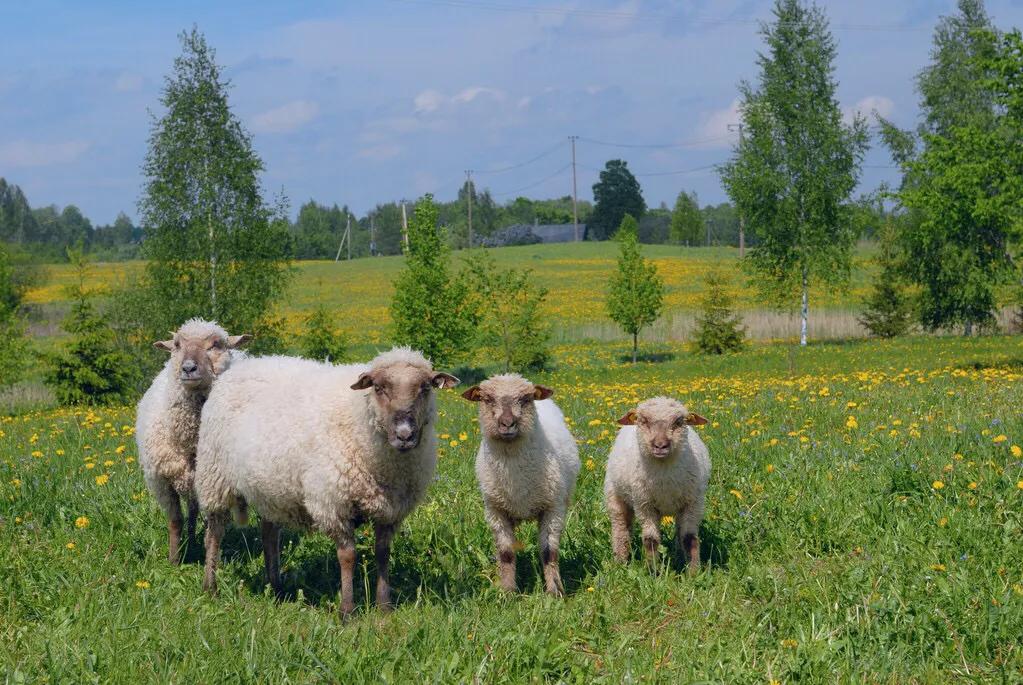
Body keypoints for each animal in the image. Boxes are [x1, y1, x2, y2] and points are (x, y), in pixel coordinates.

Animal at [135, 318, 250, 564]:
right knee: (191, 511)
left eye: (216, 344)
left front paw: (211, 557)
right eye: (177, 345)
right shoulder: (161, 481)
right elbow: (175, 521)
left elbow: (211, 528)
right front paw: (174, 561)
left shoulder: (214, 483)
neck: (189, 442)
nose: (188, 368)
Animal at [195, 349, 460, 617]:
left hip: (270, 486)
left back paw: (277, 589)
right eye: (378, 387)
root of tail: (242, 366)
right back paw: (210, 587)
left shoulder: (391, 510)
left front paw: (384, 607)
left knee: (269, 535)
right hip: (214, 475)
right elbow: (348, 556)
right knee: (214, 532)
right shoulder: (335, 503)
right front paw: (347, 612)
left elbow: (383, 553)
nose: (404, 434)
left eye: (425, 387)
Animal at [460, 376, 581, 597]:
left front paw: (555, 592)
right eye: (486, 399)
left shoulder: (553, 508)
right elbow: (506, 553)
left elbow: (549, 552)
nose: (507, 424)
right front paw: (507, 592)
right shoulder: (496, 511)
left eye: (525, 399)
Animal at [601, 396, 707, 572]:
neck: (664, 476)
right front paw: (654, 571)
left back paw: (679, 557)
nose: (660, 445)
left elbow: (689, 538)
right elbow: (651, 539)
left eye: (679, 421)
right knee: (621, 529)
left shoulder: (693, 503)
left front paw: (694, 572)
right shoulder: (644, 504)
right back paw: (620, 562)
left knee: (679, 531)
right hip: (615, 496)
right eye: (643, 420)